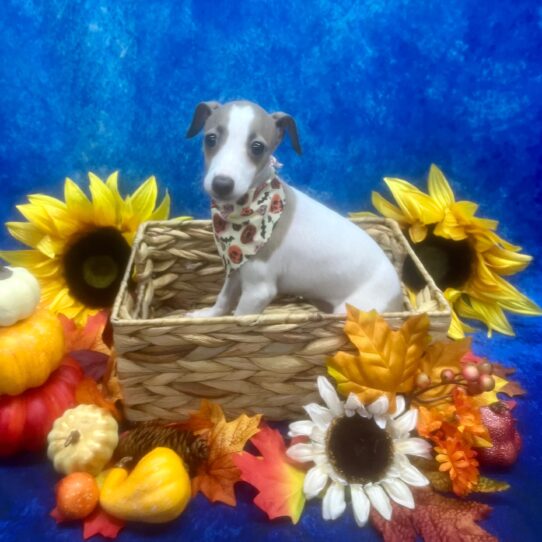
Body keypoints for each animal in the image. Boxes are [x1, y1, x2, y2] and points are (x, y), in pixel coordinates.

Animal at [187, 101, 404, 318]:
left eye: (257, 147)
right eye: (210, 139)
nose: (222, 184)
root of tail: (399, 299)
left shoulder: (258, 291)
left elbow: (240, 318)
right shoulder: (236, 268)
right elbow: (223, 299)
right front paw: (206, 316)